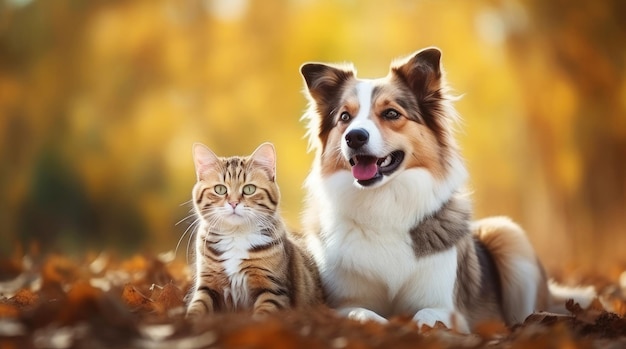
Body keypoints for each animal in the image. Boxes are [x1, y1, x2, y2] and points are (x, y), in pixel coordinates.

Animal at [184, 141, 322, 318]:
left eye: (249, 189)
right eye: (220, 189)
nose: (234, 203)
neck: (236, 236)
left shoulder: (273, 289)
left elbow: (262, 316)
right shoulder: (207, 287)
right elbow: (197, 308)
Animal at [298, 47, 588, 332]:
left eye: (391, 113)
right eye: (345, 117)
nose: (354, 137)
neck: (384, 204)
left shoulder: (447, 307)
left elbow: (426, 316)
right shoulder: (341, 302)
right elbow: (359, 313)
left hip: (507, 233)